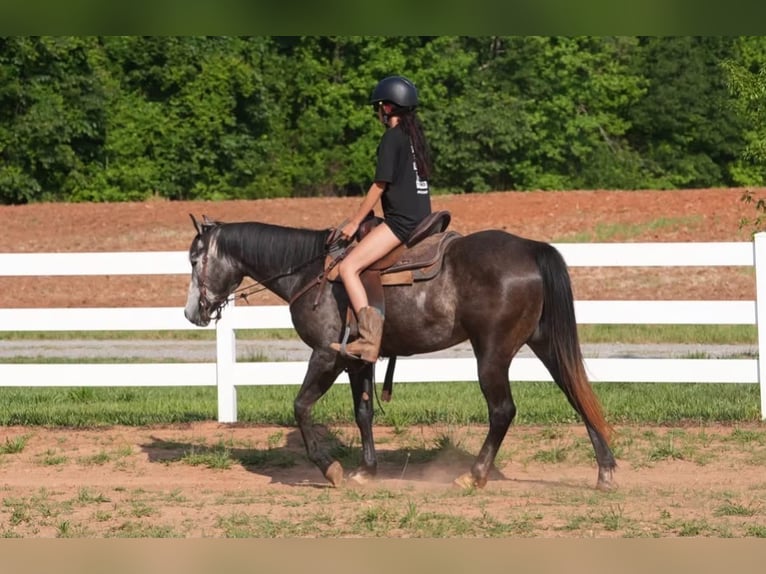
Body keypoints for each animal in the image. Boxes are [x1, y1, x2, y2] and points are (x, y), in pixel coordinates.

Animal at [183, 215, 617, 490]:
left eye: (194, 259)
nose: (191, 312)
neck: (312, 273)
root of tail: (530, 249)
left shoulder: (327, 355)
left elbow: (301, 406)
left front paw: (331, 470)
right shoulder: (356, 360)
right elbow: (363, 413)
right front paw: (366, 470)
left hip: (492, 355)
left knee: (502, 411)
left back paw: (474, 475)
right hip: (544, 344)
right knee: (578, 394)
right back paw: (606, 471)